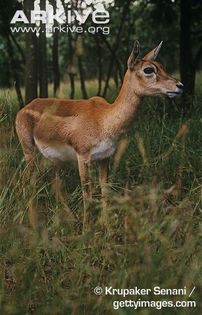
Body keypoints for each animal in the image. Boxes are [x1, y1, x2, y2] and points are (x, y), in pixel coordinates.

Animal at [15, 41, 183, 230]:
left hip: (52, 159)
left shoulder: (105, 157)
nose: (180, 86)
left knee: (53, 183)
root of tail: (24, 108)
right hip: (29, 150)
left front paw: (107, 227)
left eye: (162, 65)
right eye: (148, 69)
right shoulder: (83, 156)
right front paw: (87, 230)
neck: (104, 120)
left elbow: (105, 191)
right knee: (29, 182)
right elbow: (87, 194)